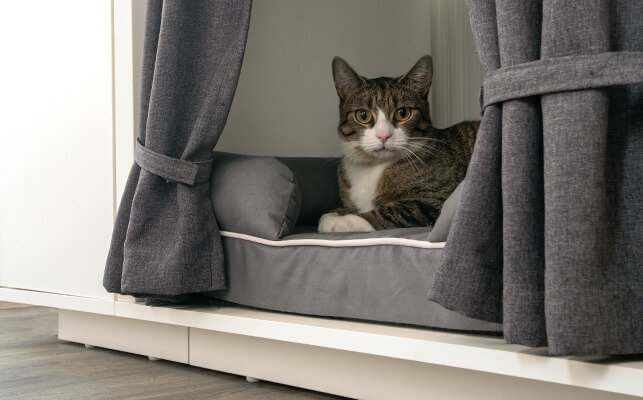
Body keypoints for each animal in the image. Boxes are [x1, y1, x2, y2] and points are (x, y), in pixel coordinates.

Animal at [320, 54, 480, 233]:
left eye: (403, 113)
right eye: (363, 115)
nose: (384, 135)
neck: (373, 166)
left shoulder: (439, 196)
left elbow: (392, 210)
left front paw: (342, 220)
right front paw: (335, 213)